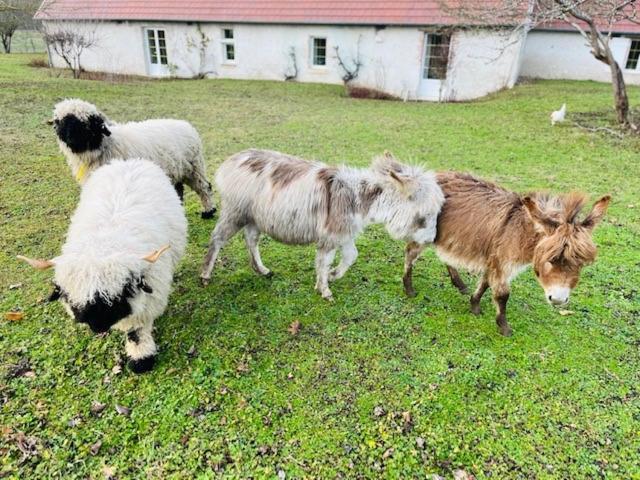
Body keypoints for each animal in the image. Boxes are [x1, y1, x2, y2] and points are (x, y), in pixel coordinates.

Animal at [18, 159, 188, 374]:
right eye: (71, 300)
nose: (98, 327)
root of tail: (129, 162)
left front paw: (141, 360)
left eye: (121, 293)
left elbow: (136, 330)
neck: (103, 242)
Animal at [50, 98, 215, 218]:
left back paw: (209, 211)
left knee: (204, 187)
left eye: (87, 123)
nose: (71, 140)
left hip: (194, 167)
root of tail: (185, 124)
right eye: (60, 123)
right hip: (176, 170)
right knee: (178, 190)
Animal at [202, 150, 442, 300]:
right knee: (217, 239)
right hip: (236, 212)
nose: (431, 240)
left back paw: (262, 270)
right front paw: (325, 290)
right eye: (425, 215)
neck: (358, 197)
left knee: (251, 240)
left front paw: (333, 276)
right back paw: (205, 275)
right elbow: (324, 261)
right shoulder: (331, 234)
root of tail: (231, 161)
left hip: (253, 217)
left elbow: (351, 256)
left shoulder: (344, 232)